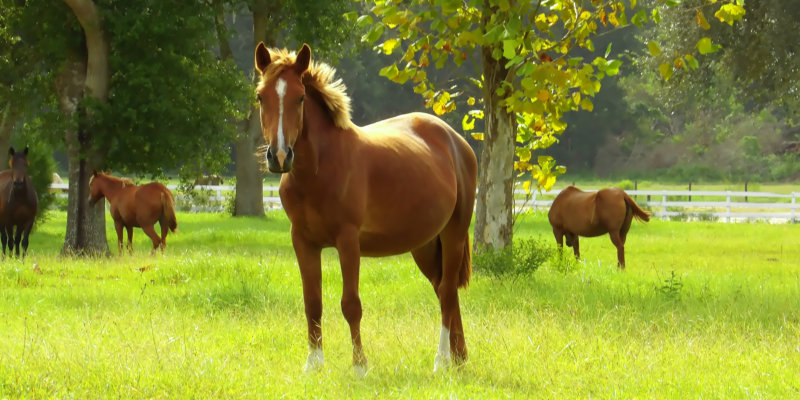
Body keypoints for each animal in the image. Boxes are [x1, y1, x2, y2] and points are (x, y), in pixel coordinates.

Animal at [255, 42, 476, 374]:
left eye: (300, 97)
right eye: (260, 96)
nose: (279, 156)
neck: (318, 170)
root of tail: (456, 141)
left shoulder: (348, 241)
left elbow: (351, 304)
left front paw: (360, 366)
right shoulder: (303, 241)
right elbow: (312, 302)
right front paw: (313, 365)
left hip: (454, 234)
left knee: (448, 293)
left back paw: (441, 361)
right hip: (425, 245)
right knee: (443, 293)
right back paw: (459, 359)